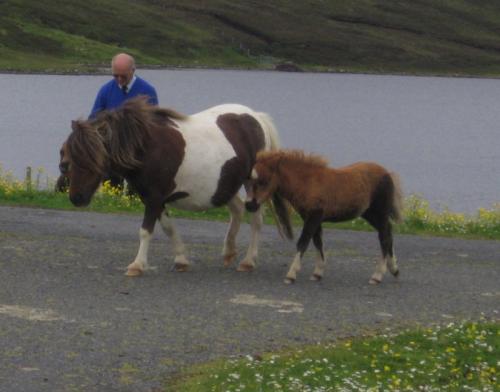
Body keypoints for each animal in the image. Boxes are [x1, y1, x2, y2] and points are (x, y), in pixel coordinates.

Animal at [58, 97, 282, 278]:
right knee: (237, 209)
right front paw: (181, 260)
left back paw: (248, 261)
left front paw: (137, 265)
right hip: (225, 184)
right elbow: (168, 228)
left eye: (92, 160)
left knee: (256, 220)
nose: (77, 198)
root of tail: (256, 117)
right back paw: (229, 252)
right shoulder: (154, 199)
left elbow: (145, 231)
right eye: (66, 160)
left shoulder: (154, 199)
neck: (146, 147)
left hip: (252, 183)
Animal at [244, 151, 404, 284]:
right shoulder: (312, 218)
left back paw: (377, 275)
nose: (249, 205)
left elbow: (303, 242)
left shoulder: (314, 216)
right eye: (250, 181)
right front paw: (317, 273)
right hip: (368, 213)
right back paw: (394, 269)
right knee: (388, 232)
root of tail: (387, 173)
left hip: (380, 212)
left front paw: (291, 274)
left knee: (384, 237)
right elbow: (317, 242)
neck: (307, 182)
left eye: (263, 181)